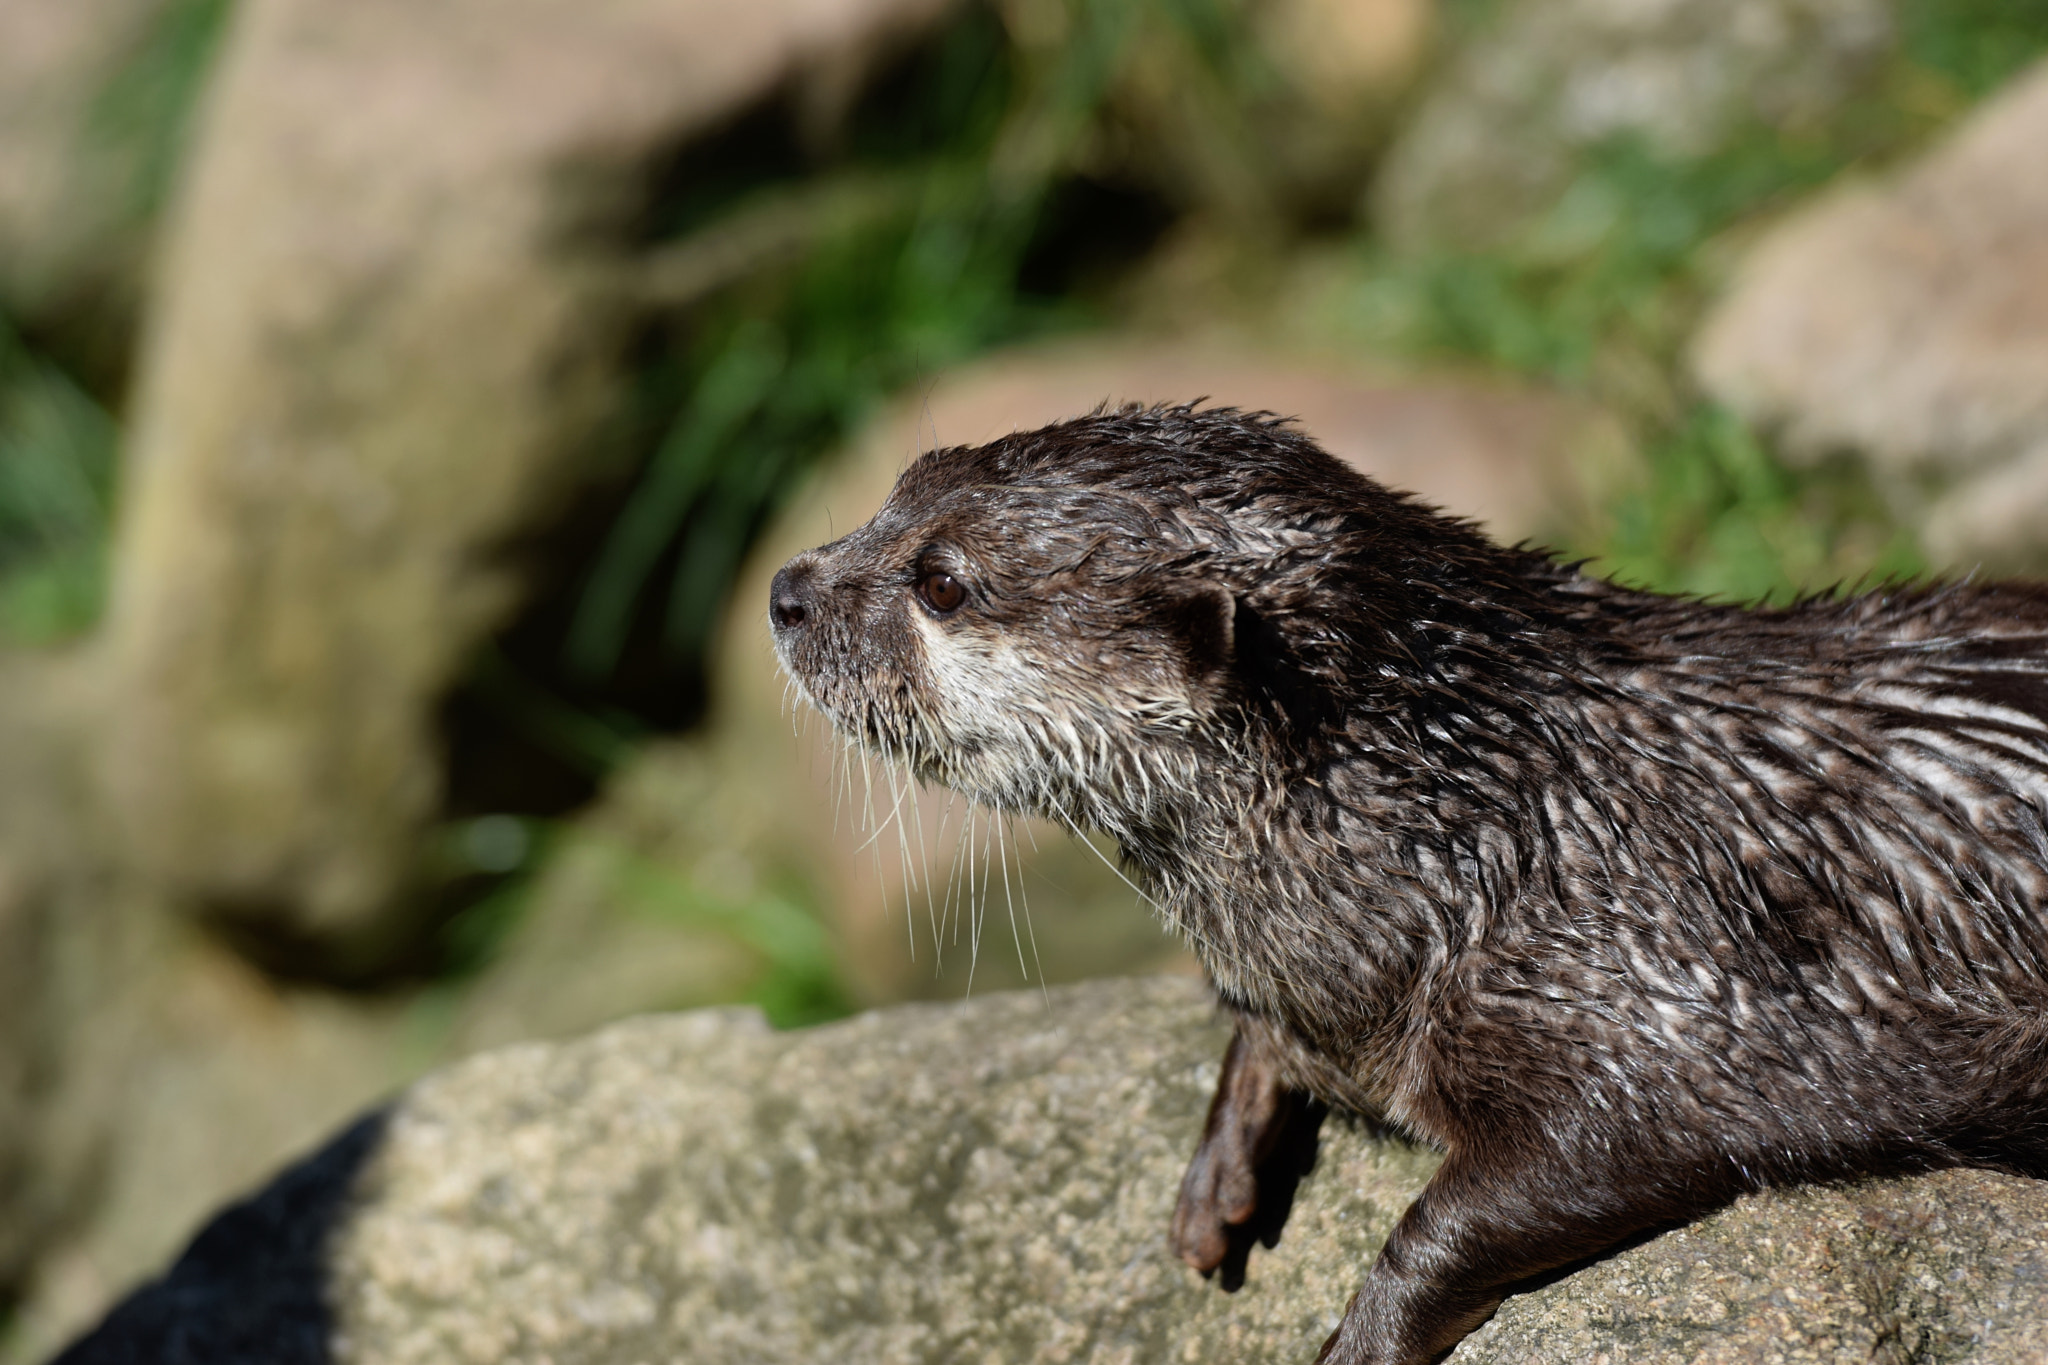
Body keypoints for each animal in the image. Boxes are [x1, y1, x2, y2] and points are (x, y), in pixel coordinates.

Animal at [768, 404, 2048, 1365]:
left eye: (942, 583)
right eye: (901, 483)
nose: (784, 588)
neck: (1480, 833)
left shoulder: (1656, 1002)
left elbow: (1512, 1186)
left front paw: (1362, 1332)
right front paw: (1215, 1179)